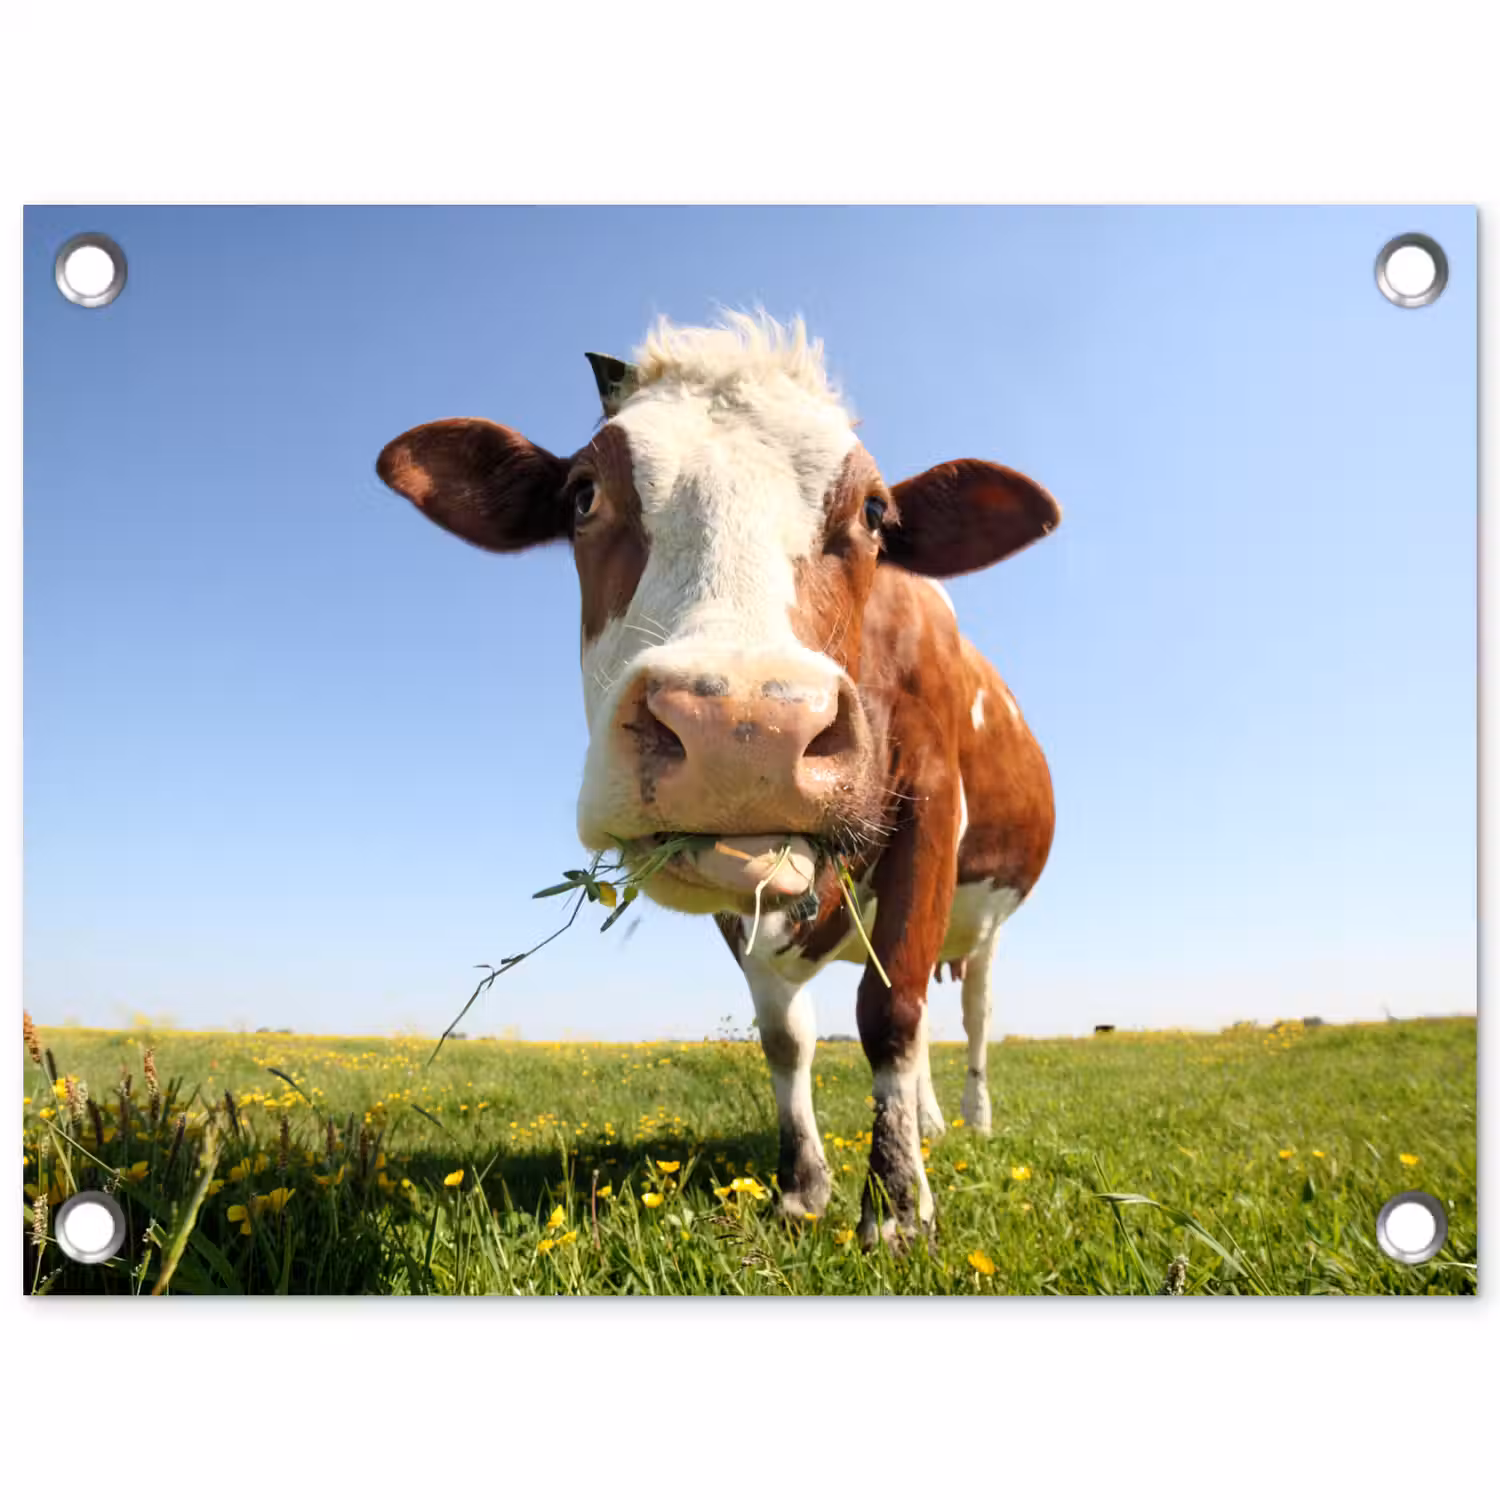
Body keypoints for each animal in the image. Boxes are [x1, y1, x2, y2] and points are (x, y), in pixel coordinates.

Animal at [376, 314, 1058, 1248]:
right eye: (583, 495)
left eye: (875, 512)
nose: (743, 728)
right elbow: (786, 1035)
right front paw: (805, 1186)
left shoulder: (929, 809)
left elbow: (891, 1015)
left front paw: (894, 1209)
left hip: (984, 924)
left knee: (970, 1015)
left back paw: (971, 1123)